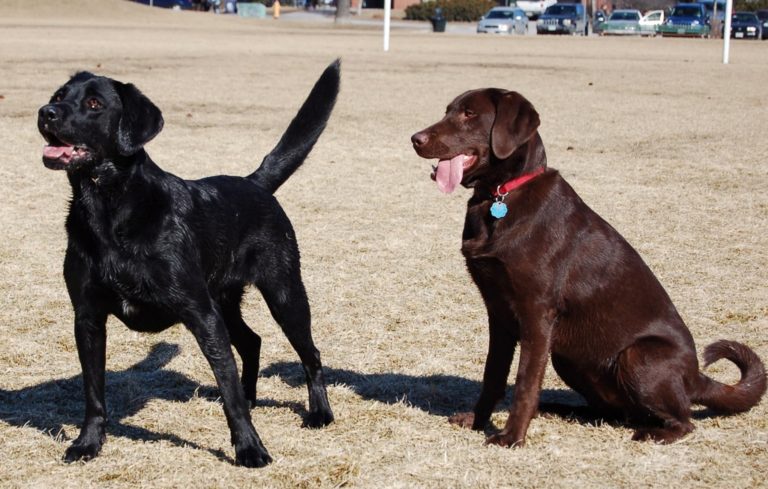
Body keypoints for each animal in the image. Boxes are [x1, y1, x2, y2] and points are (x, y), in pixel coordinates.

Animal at [37, 60, 340, 466]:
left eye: (94, 104)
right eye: (58, 96)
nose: (46, 113)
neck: (107, 210)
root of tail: (255, 183)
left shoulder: (201, 313)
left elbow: (228, 389)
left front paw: (250, 449)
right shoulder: (87, 318)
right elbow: (93, 392)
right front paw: (88, 443)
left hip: (284, 294)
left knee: (310, 354)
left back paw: (320, 413)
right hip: (226, 301)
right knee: (252, 342)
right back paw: (254, 397)